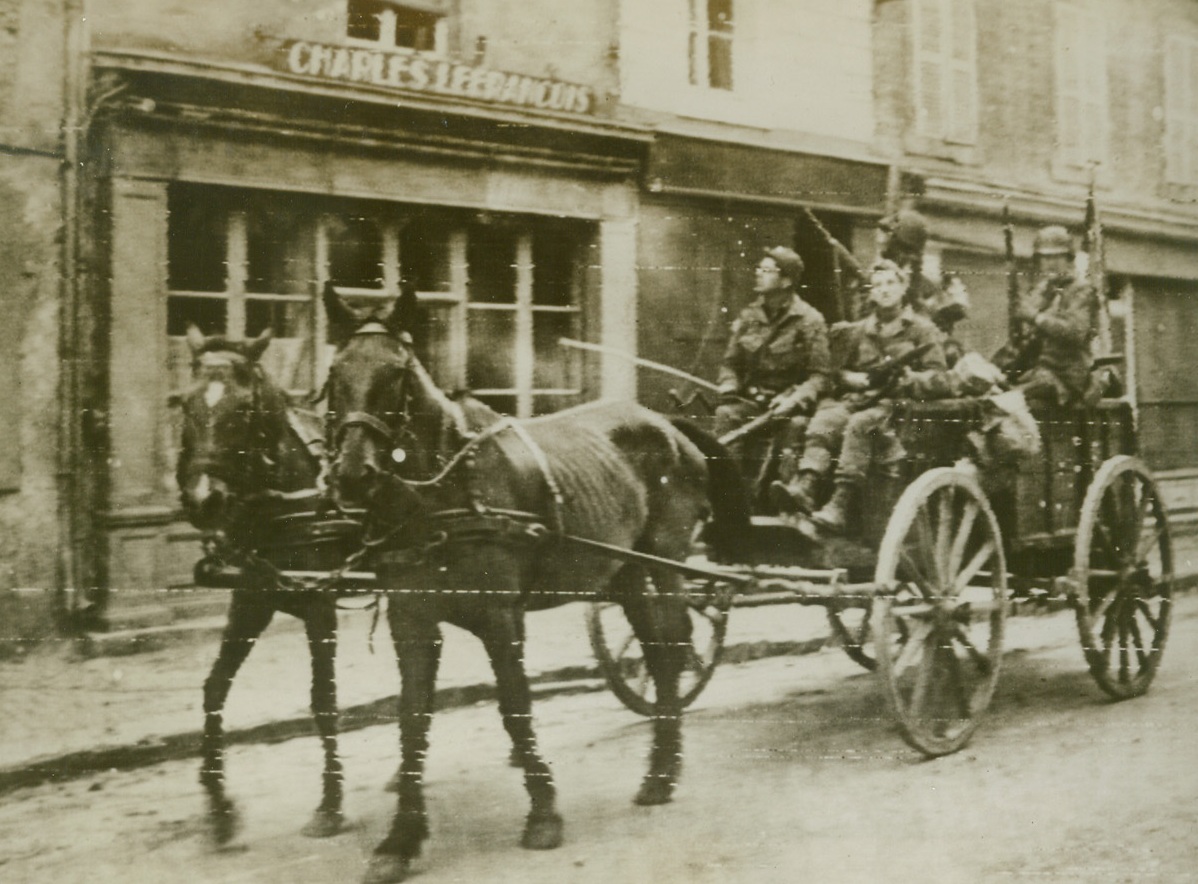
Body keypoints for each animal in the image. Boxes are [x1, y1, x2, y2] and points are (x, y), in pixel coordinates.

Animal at [321, 286, 747, 876]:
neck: (445, 496)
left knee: (673, 644)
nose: (353, 475)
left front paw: (543, 812)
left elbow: (515, 705)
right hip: (623, 572)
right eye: (335, 373)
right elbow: (411, 719)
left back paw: (661, 772)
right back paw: (659, 775)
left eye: (398, 375)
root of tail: (664, 423)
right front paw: (400, 839)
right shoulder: (412, 619)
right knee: (659, 653)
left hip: (665, 559)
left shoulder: (501, 616)